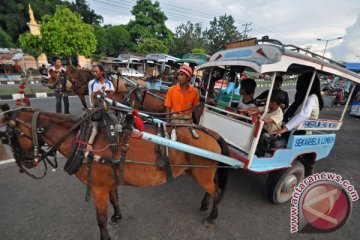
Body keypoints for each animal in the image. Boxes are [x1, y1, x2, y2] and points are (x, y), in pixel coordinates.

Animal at [0, 104, 228, 240]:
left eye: (9, 137)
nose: (24, 164)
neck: (86, 140)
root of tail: (212, 133)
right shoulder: (107, 182)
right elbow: (114, 199)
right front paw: (117, 216)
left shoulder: (97, 187)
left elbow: (100, 217)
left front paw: (105, 236)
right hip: (197, 172)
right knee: (211, 188)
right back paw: (204, 204)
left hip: (202, 173)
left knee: (217, 192)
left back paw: (212, 216)